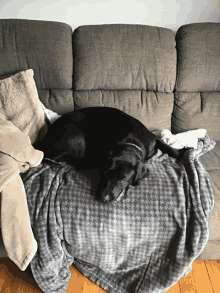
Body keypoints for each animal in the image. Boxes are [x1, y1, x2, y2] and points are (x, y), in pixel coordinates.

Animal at [37, 106, 185, 201]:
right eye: (106, 173)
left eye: (123, 179)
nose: (104, 198)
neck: (131, 143)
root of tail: (44, 143)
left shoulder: (153, 139)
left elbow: (167, 146)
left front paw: (181, 152)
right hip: (77, 137)